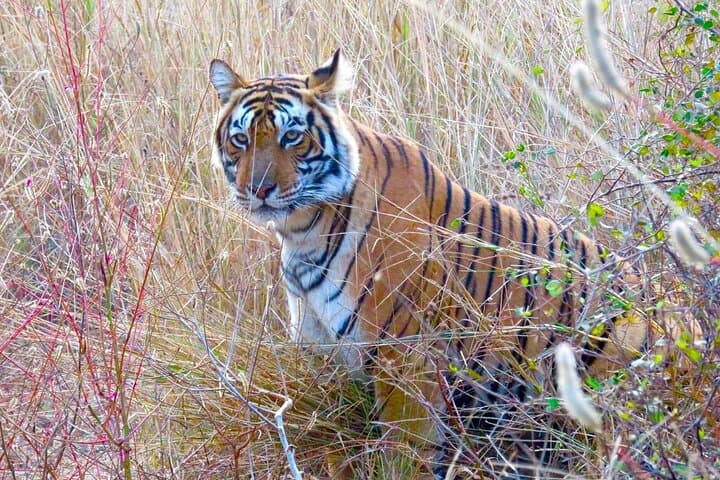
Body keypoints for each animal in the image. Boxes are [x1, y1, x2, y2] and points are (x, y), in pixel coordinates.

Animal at [208, 50, 699, 479]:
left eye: (292, 136)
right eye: (241, 139)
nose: (258, 189)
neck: (302, 232)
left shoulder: (405, 359)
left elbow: (405, 452)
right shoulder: (326, 357)